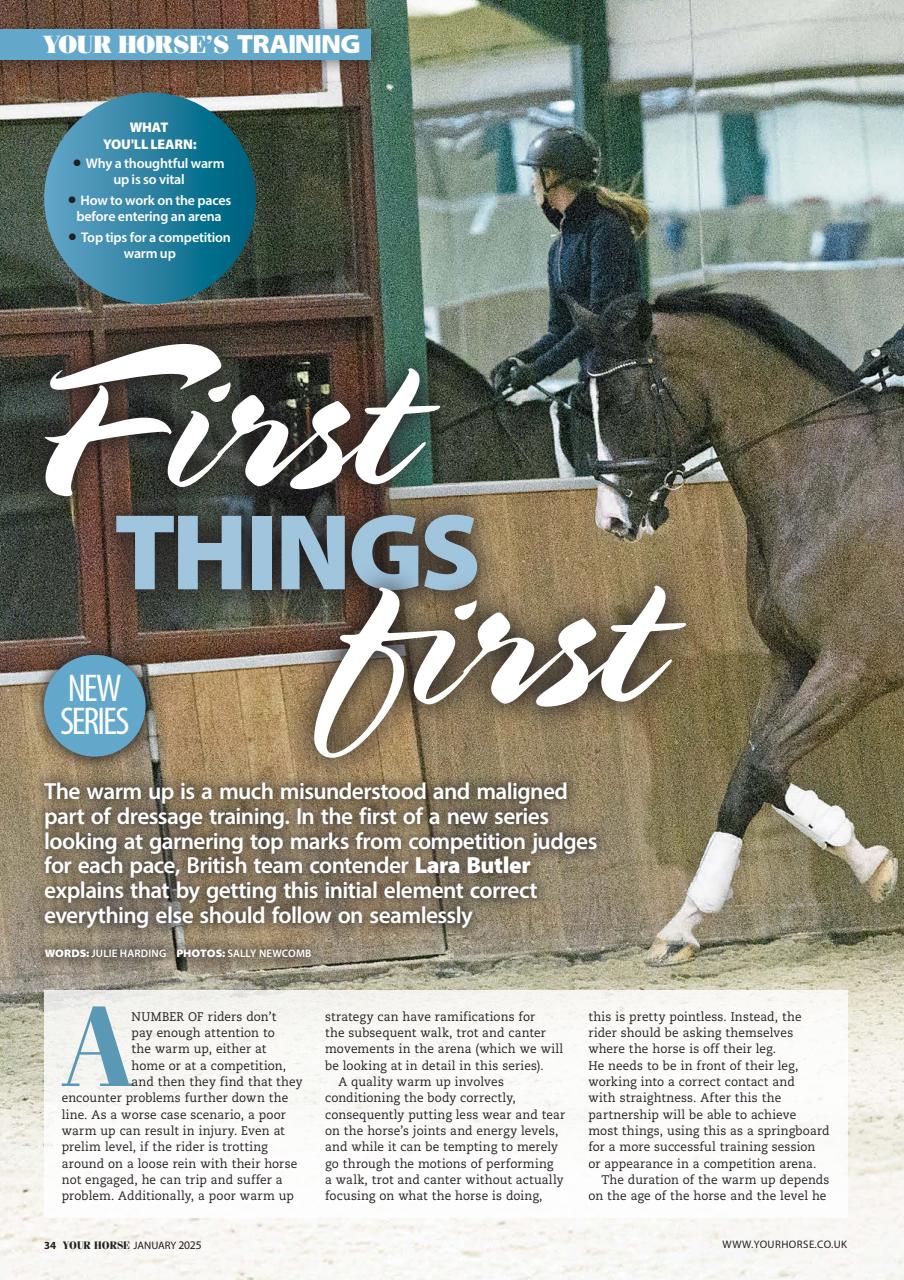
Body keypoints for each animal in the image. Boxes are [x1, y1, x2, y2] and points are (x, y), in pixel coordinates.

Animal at [567, 287, 904, 966]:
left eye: (621, 400)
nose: (612, 521)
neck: (832, 482)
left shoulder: (855, 668)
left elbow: (763, 766)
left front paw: (873, 866)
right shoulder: (793, 662)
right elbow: (753, 770)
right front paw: (683, 923)